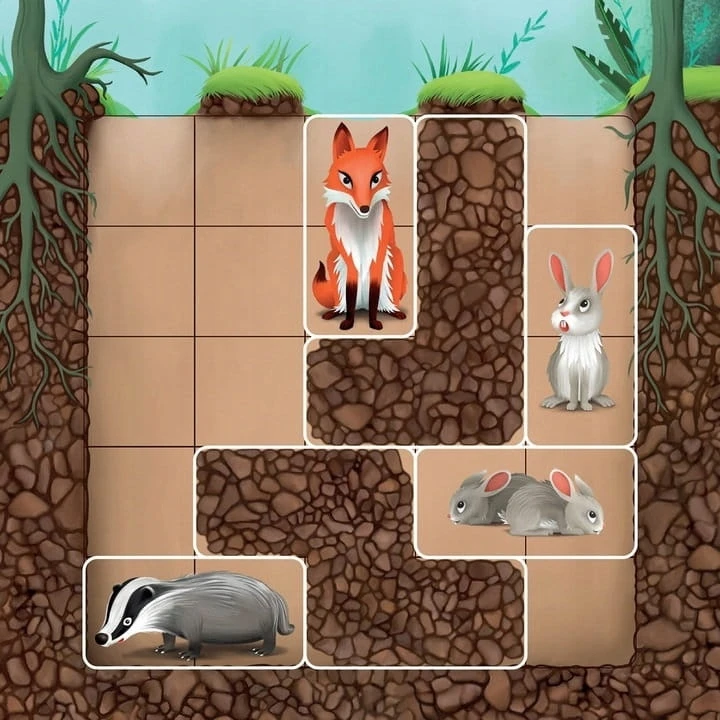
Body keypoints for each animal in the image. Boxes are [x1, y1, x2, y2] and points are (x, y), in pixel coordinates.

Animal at [541, 248, 616, 412]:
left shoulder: (587, 370)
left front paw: (586, 407)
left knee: (594, 395)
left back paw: (604, 401)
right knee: (563, 396)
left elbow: (585, 387)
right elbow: (574, 389)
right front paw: (572, 406)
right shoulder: (571, 369)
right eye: (561, 301)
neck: (578, 337)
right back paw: (551, 402)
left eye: (584, 304)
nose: (563, 313)